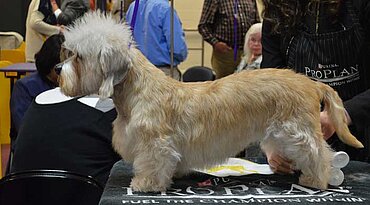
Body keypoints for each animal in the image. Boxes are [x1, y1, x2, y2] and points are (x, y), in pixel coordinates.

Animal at [59, 12, 362, 192]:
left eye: (79, 57)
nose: (59, 72)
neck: (137, 91)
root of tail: (310, 83)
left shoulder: (154, 144)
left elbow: (152, 164)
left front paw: (144, 184)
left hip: (296, 131)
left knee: (319, 153)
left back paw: (316, 179)